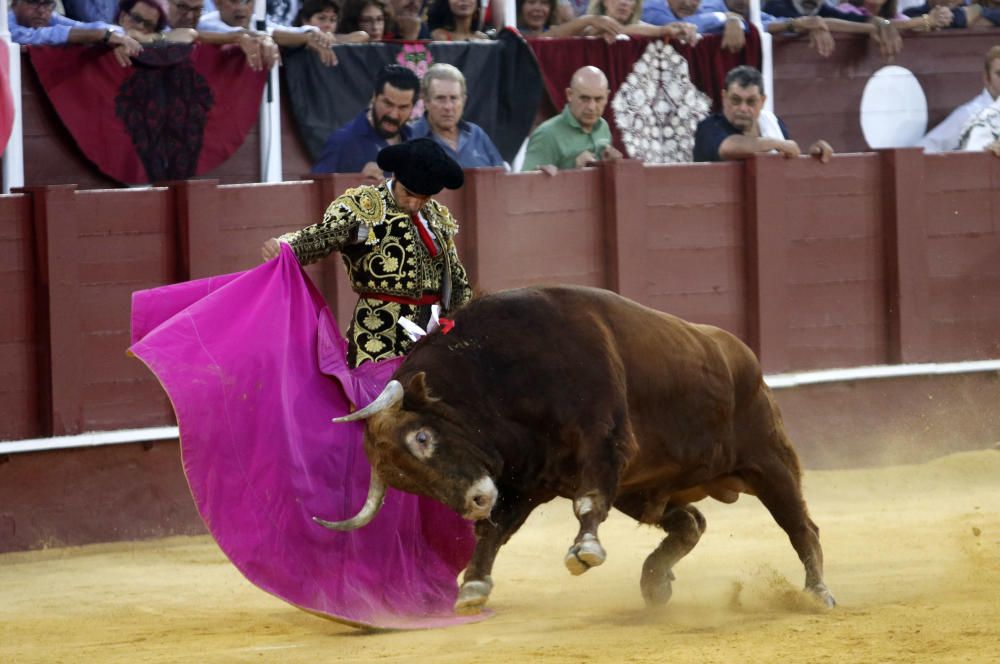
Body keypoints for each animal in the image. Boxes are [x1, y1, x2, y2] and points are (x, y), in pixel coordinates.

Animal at [314, 284, 836, 612]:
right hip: (642, 488)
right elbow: (496, 530)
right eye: (408, 483)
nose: (475, 500)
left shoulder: (602, 443)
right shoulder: (525, 481)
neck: (501, 378)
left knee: (801, 526)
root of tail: (740, 352)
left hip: (769, 460)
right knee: (691, 522)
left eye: (422, 438)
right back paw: (655, 581)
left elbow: (586, 503)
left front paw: (584, 551)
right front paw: (474, 585)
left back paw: (817, 593)